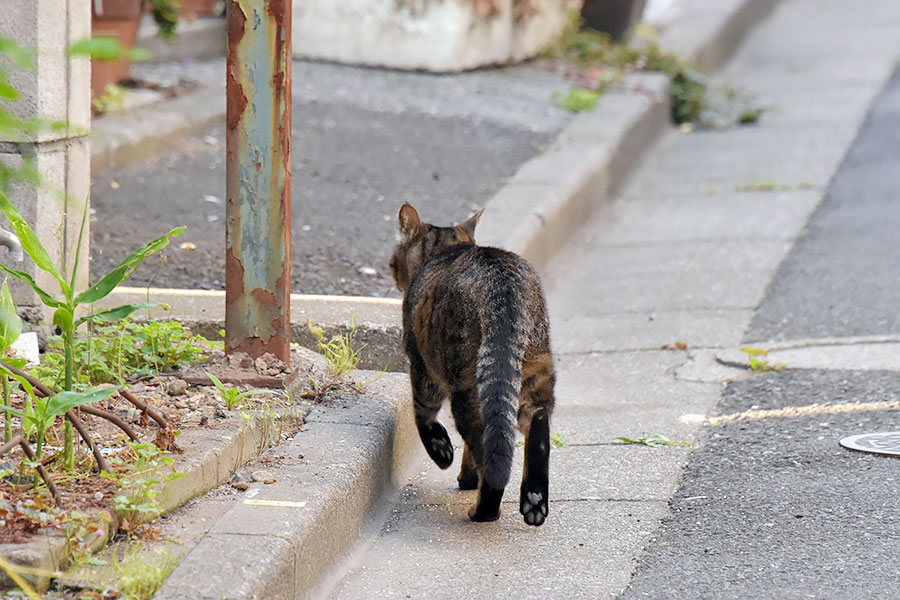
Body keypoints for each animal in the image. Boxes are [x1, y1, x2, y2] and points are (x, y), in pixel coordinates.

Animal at [392, 203, 556, 524]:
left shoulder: (421, 367)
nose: (392, 272)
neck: (447, 250)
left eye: (393, 263)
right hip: (535, 373)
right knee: (538, 427)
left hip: (465, 387)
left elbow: (422, 414)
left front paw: (442, 451)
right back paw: (534, 501)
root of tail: (502, 285)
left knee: (489, 451)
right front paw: (467, 478)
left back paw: (484, 510)